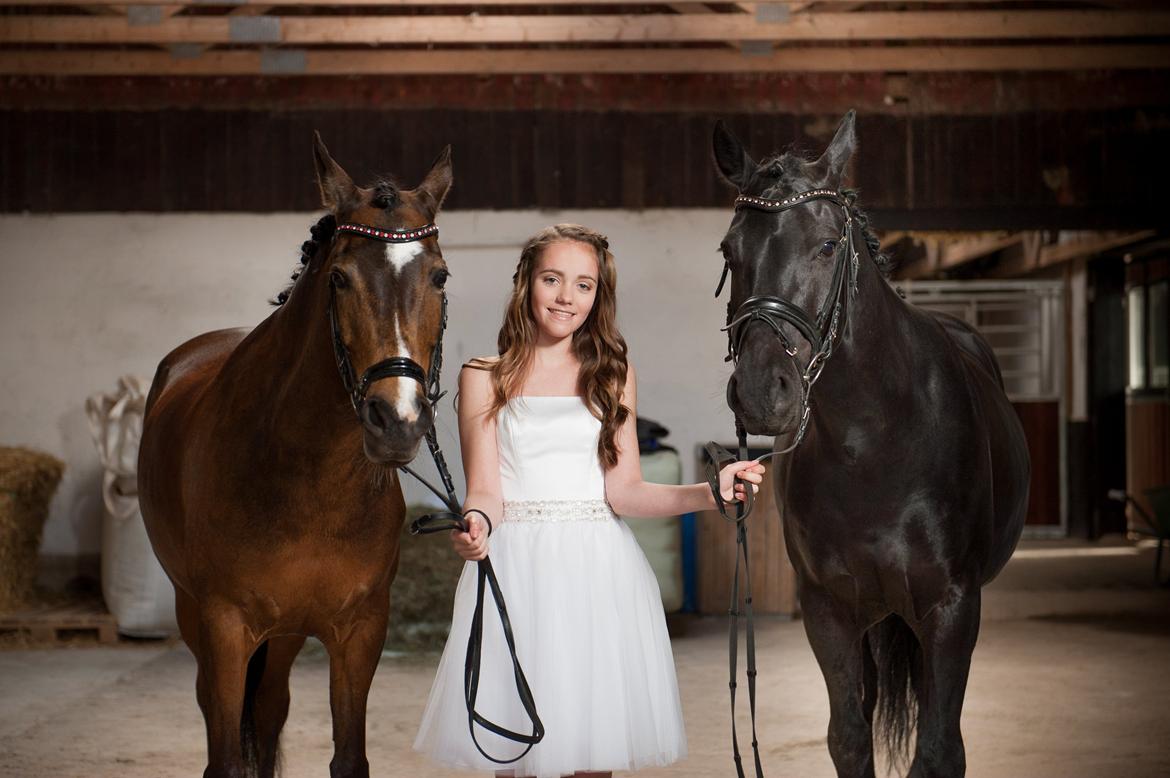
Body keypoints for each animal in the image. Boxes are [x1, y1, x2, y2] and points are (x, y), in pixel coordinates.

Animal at [137, 134, 453, 778]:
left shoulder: (360, 631)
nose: (397, 420)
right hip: (196, 616)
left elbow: (347, 756)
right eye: (339, 279)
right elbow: (226, 757)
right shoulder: (225, 627)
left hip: (281, 636)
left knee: (269, 708)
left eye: (439, 276)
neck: (312, 482)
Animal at [711, 112, 1030, 777]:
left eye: (828, 246)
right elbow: (849, 738)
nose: (761, 393)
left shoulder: (952, 609)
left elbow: (939, 749)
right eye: (730, 251)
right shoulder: (828, 612)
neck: (874, 443)